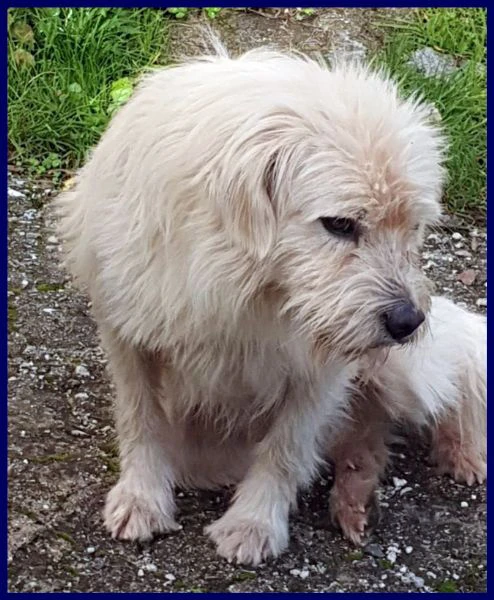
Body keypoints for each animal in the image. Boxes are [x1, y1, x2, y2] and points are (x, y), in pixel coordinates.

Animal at [54, 43, 448, 568]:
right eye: (340, 224)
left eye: (414, 227)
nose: (407, 322)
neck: (244, 282)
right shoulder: (128, 331)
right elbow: (141, 418)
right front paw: (142, 497)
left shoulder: (319, 370)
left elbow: (285, 448)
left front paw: (254, 522)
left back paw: (358, 494)